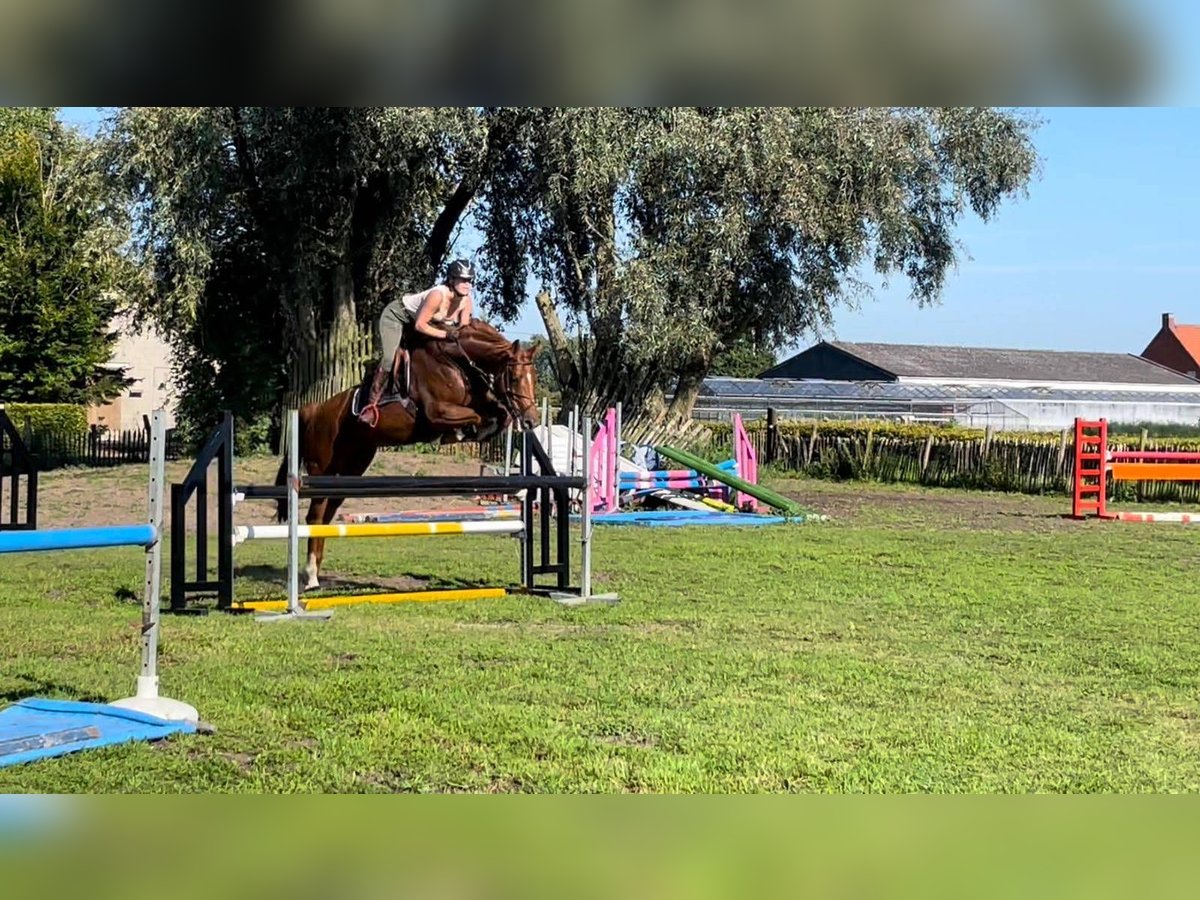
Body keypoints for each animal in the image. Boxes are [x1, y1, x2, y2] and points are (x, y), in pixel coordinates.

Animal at [276, 319, 540, 592]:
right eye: (515, 377)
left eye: (535, 378)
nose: (532, 421)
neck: (457, 360)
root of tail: (315, 409)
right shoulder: (438, 412)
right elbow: (476, 417)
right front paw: (459, 433)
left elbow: (500, 414)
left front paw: (483, 428)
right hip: (322, 468)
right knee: (315, 514)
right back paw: (310, 576)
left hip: (350, 468)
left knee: (326, 515)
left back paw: (315, 573)